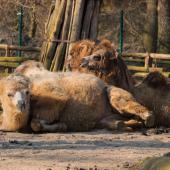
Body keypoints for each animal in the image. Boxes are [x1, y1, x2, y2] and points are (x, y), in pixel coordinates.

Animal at [14, 60, 153, 132]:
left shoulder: (55, 99)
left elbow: (36, 123)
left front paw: (62, 126)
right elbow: (35, 123)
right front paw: (61, 126)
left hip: (114, 93)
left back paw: (147, 118)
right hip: (106, 117)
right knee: (113, 122)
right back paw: (130, 124)